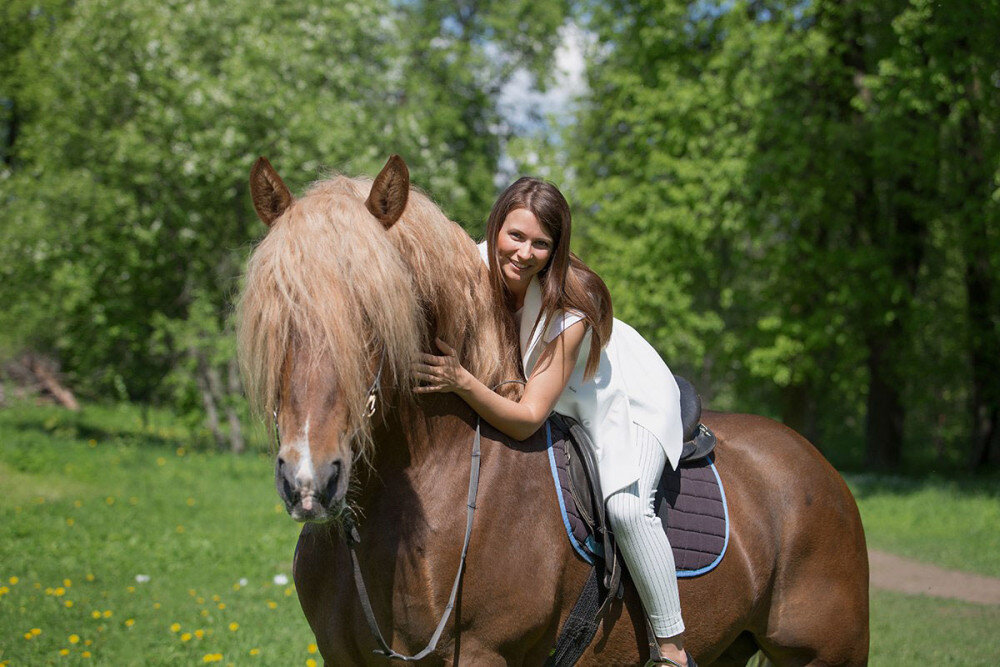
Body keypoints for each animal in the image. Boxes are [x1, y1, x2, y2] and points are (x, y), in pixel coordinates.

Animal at [234, 154, 868, 664]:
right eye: (275, 311)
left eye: (373, 314)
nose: (310, 479)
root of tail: (821, 471)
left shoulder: (480, 653)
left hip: (827, 655)